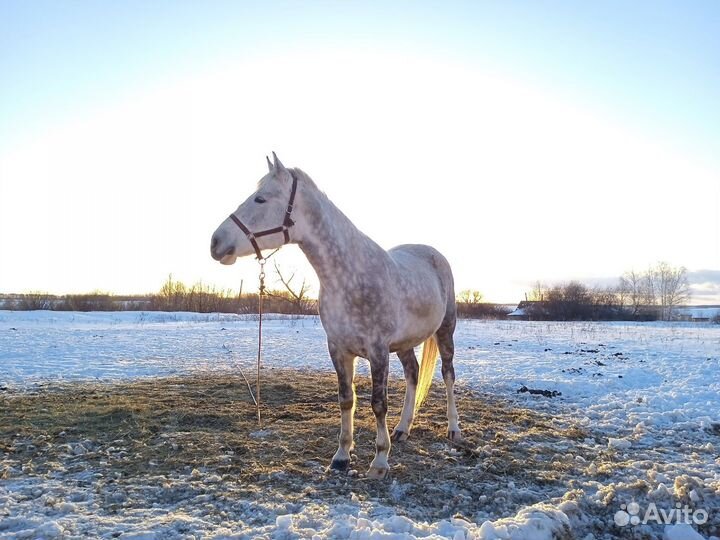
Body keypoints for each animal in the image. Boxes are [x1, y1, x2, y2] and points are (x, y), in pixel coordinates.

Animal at [210, 153, 460, 479]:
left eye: (260, 199)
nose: (215, 242)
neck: (349, 276)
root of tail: (434, 255)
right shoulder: (338, 349)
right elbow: (346, 399)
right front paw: (341, 456)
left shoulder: (377, 351)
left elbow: (378, 404)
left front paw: (380, 462)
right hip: (404, 344)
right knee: (413, 374)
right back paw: (403, 430)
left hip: (445, 331)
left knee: (448, 374)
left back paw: (453, 429)